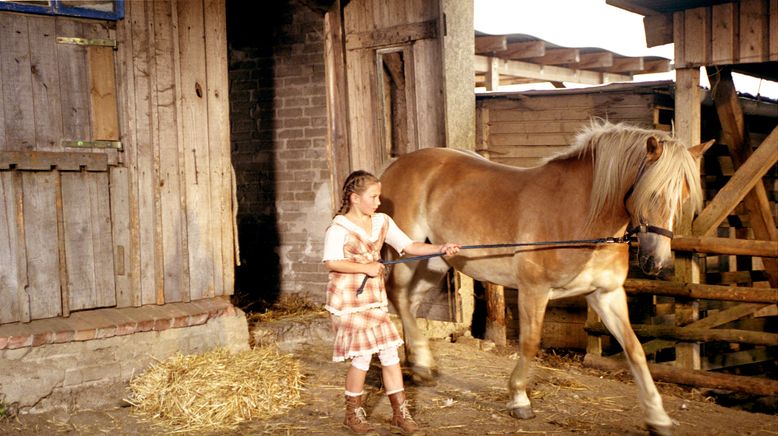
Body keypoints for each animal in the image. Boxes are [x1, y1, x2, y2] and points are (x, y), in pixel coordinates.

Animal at [378, 121, 712, 436]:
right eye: (652, 194)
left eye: (683, 197)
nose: (657, 263)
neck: (581, 215)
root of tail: (395, 166)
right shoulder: (534, 291)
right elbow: (529, 343)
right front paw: (519, 399)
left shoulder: (607, 295)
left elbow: (635, 351)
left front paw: (658, 417)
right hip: (406, 253)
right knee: (397, 296)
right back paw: (420, 363)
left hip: (435, 260)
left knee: (410, 303)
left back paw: (420, 363)